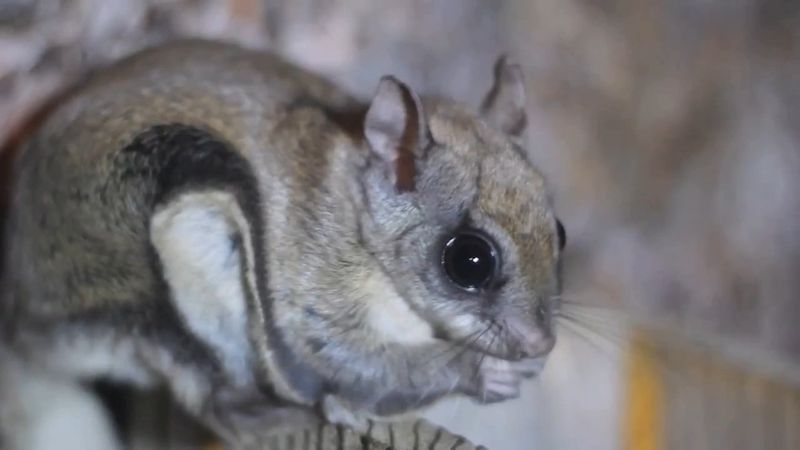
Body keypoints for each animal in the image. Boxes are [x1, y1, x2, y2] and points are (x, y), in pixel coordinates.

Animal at [0, 39, 565, 450]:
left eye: (558, 232)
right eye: (468, 260)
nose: (540, 343)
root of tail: (24, 322)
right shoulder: (312, 303)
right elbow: (359, 365)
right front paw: (484, 371)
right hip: (176, 280)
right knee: (215, 406)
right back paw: (284, 415)